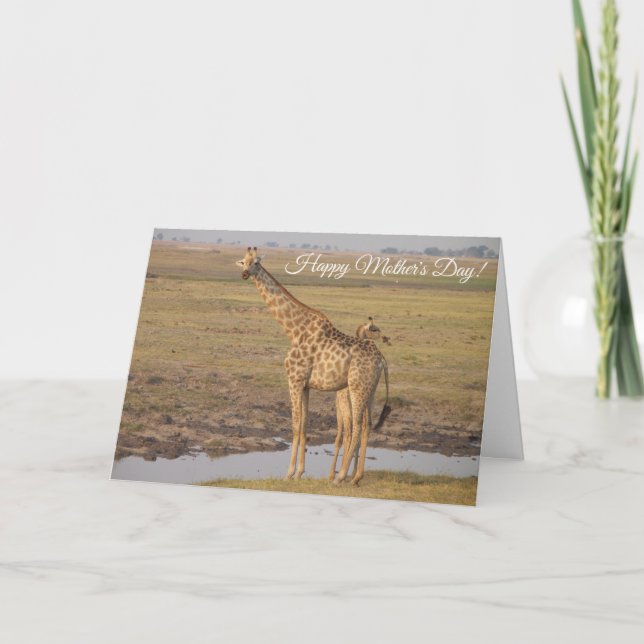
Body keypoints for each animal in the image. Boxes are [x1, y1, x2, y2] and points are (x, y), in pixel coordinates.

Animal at [328, 317, 386, 481]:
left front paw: (332, 474)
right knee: (365, 426)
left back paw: (343, 474)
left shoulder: (339, 405)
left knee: (350, 430)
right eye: (374, 328)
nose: (386, 338)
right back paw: (356, 475)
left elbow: (340, 436)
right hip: (367, 398)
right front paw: (350, 471)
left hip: (350, 402)